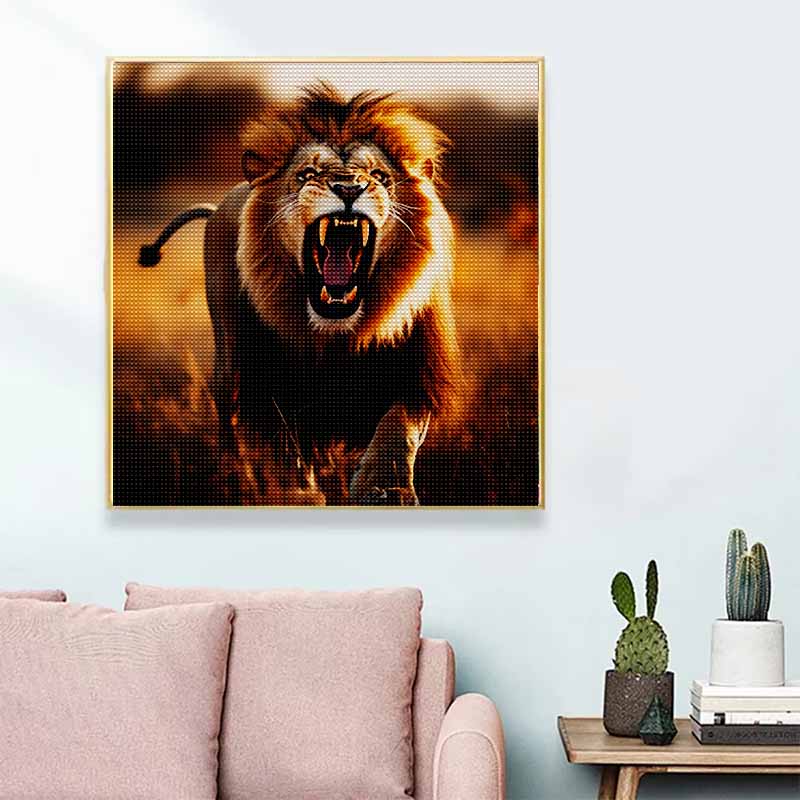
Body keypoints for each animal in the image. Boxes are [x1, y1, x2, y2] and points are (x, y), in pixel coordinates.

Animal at [138, 84, 459, 505]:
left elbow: (397, 428)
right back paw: (234, 475)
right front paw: (297, 493)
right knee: (228, 420)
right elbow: (283, 445)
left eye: (379, 176)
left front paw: (386, 490)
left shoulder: (418, 370)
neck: (337, 331)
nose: (349, 187)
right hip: (228, 359)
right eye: (307, 174)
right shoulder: (270, 378)